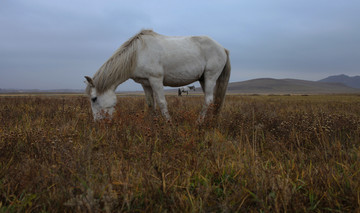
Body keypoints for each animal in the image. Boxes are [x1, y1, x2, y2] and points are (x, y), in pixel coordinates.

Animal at [84, 29, 231, 121]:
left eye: (94, 99)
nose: (98, 123)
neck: (138, 53)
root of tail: (222, 48)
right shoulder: (145, 83)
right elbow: (150, 104)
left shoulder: (156, 80)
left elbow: (161, 103)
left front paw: (168, 124)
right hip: (203, 79)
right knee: (213, 101)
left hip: (210, 77)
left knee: (208, 100)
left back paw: (199, 122)